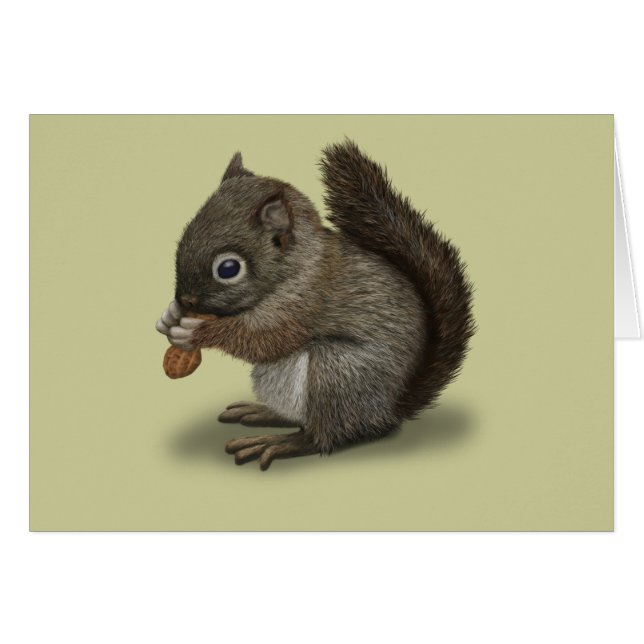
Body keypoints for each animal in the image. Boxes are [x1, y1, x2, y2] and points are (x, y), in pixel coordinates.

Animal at [156, 139, 474, 470]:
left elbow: (262, 340)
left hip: (338, 374)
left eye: (228, 269)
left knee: (324, 436)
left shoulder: (304, 303)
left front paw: (194, 332)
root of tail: (389, 410)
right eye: (184, 236)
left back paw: (278, 443)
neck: (296, 266)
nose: (185, 300)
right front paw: (169, 317)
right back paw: (262, 412)